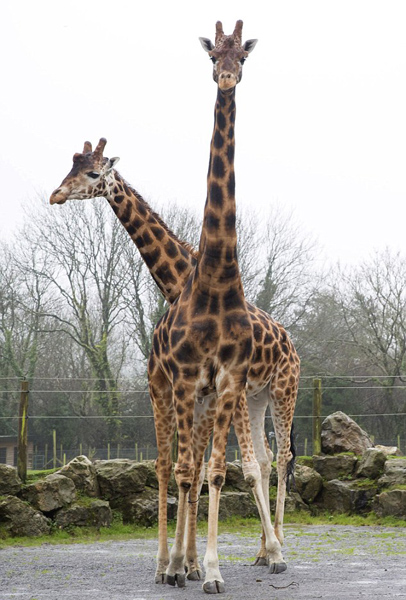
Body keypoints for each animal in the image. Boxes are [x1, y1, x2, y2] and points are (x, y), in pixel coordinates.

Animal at [49, 22, 300, 584]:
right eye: (73, 168)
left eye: (94, 173)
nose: (55, 194)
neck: (201, 278)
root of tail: (292, 342)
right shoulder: (191, 385)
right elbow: (192, 468)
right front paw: (184, 564)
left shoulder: (222, 384)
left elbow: (217, 468)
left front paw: (204, 567)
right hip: (235, 396)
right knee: (213, 462)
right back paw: (246, 552)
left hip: (280, 389)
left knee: (277, 456)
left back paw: (272, 551)